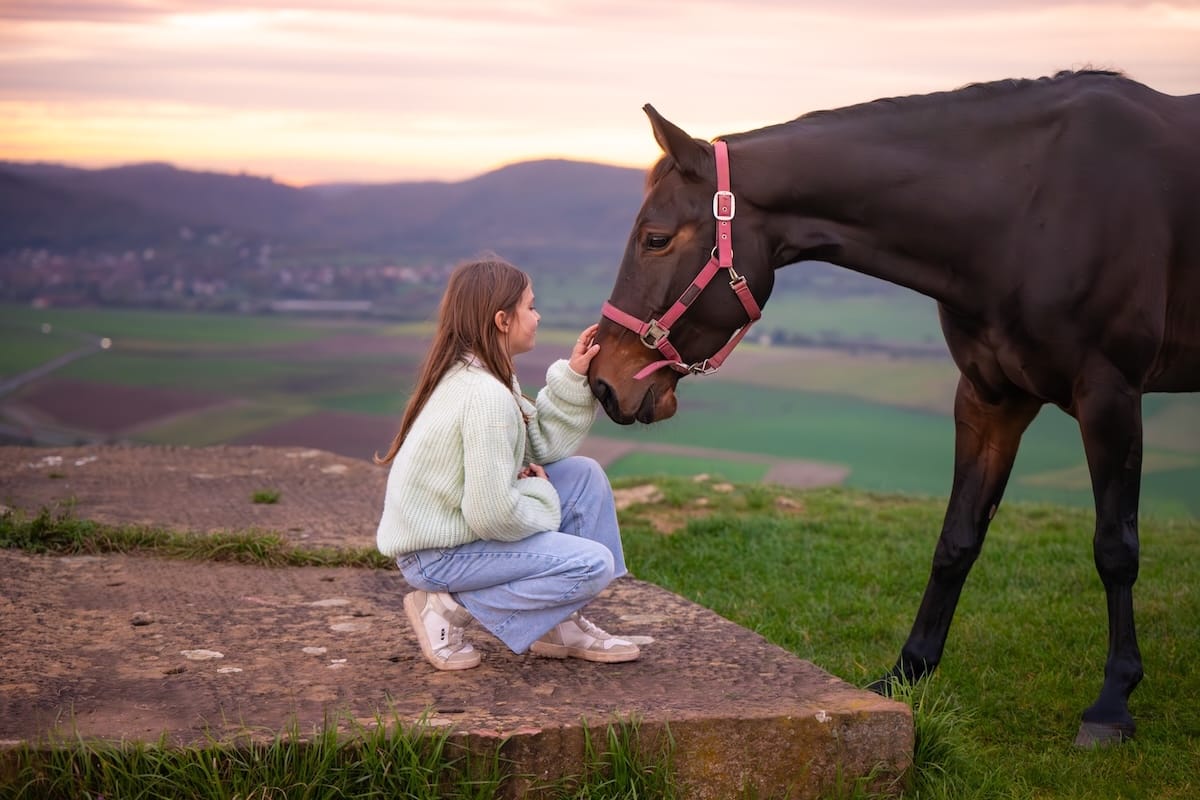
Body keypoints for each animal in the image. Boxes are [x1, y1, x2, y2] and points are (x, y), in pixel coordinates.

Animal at [587, 70, 1200, 747]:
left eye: (656, 239)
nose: (603, 382)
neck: (1025, 210)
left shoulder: (1110, 395)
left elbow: (1116, 546)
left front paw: (1113, 700)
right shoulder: (990, 399)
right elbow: (956, 538)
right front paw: (908, 672)